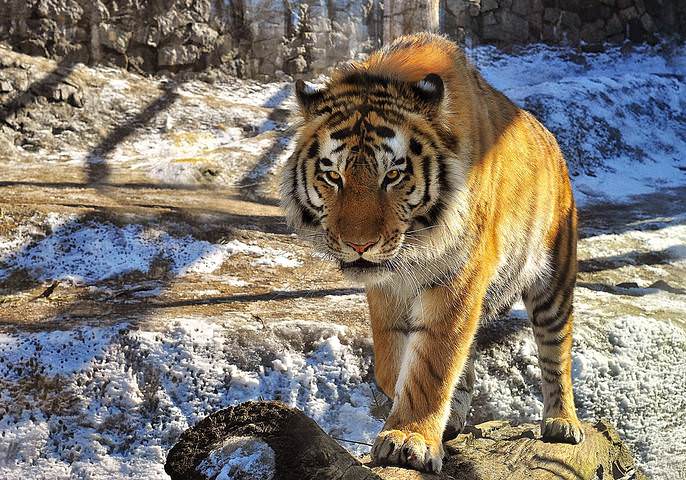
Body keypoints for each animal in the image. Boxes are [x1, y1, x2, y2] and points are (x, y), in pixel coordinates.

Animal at [280, 32, 584, 473]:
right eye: (333, 175)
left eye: (393, 175)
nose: (359, 245)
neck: (413, 250)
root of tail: (551, 138)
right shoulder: (386, 287)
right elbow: (393, 362)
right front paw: (426, 412)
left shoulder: (459, 277)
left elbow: (433, 361)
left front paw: (409, 438)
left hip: (555, 280)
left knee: (556, 351)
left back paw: (562, 422)